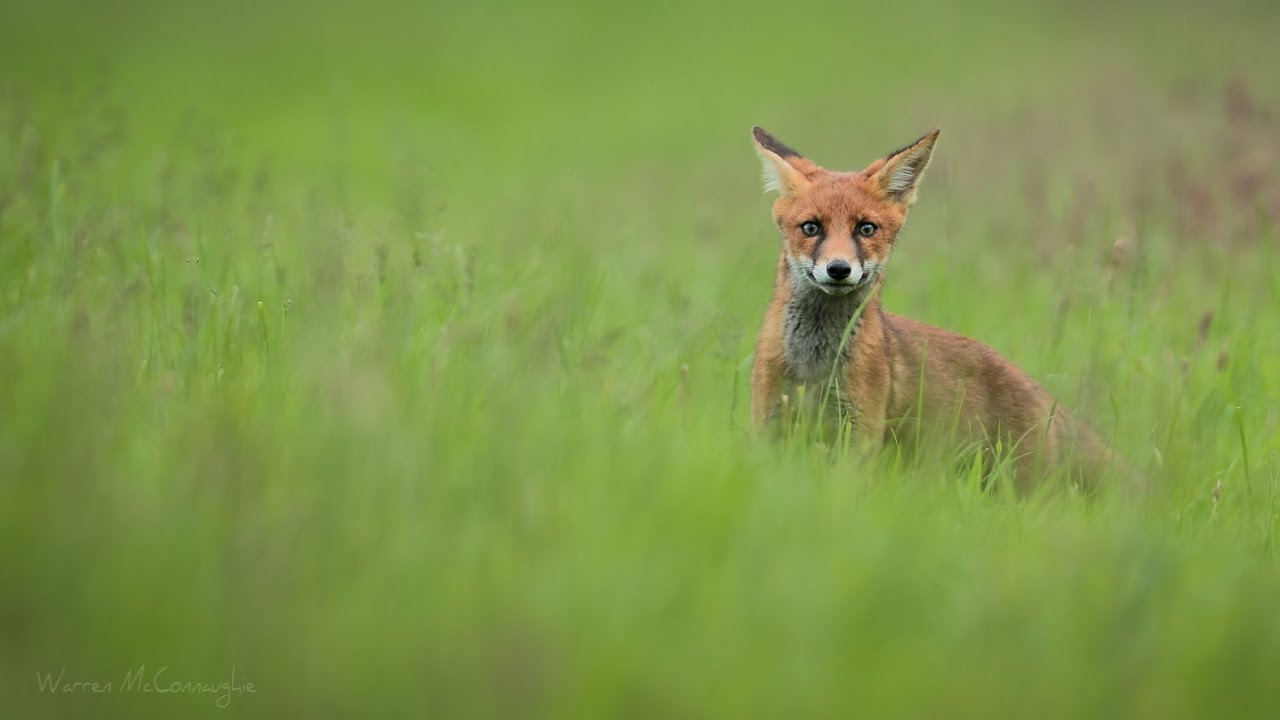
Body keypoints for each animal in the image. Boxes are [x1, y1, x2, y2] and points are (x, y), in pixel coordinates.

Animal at [747, 124, 1111, 486]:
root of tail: (1041, 392)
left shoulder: (860, 434)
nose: (839, 269)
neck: (814, 366)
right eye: (811, 227)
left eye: (866, 228)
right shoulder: (769, 423)